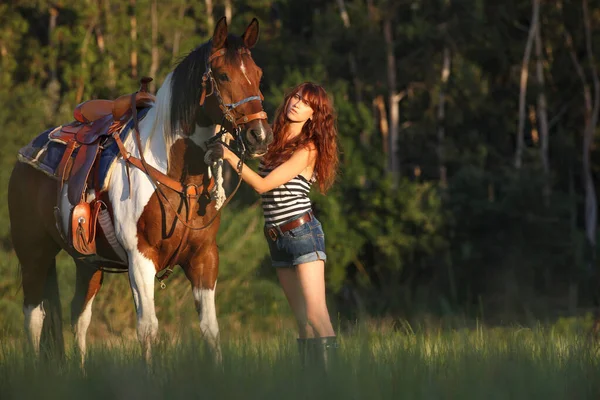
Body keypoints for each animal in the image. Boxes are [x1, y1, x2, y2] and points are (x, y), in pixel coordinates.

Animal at [7, 16, 272, 362]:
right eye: (224, 75)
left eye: (258, 75)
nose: (260, 136)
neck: (175, 176)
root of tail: (26, 154)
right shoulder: (140, 258)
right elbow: (148, 329)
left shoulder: (204, 257)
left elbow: (210, 330)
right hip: (33, 253)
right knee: (34, 317)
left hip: (87, 263)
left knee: (79, 316)